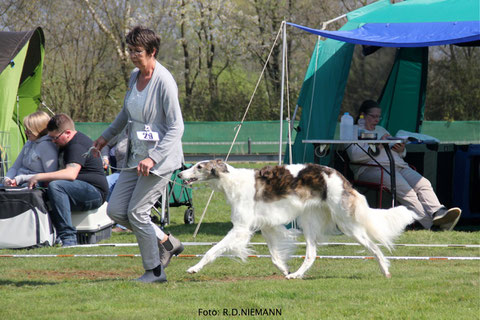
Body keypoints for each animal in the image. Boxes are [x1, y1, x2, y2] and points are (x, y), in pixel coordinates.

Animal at [178, 160, 418, 278]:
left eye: (199, 167)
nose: (179, 174)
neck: (231, 181)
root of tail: (340, 176)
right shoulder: (266, 226)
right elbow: (275, 256)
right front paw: (285, 270)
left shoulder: (241, 228)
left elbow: (212, 250)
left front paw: (194, 268)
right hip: (310, 222)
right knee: (311, 254)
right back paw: (296, 275)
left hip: (348, 224)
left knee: (375, 247)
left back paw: (385, 270)